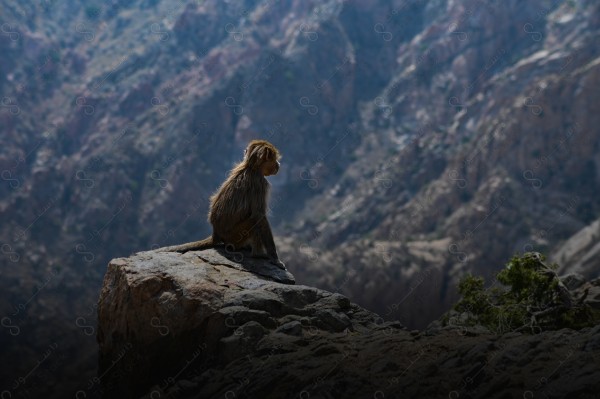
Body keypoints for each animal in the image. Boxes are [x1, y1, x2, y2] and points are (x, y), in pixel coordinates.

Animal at [156, 139, 284, 270]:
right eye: (274, 159)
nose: (278, 164)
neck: (251, 167)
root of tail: (216, 233)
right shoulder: (261, 184)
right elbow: (259, 215)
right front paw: (275, 259)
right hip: (235, 237)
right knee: (254, 220)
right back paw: (257, 254)